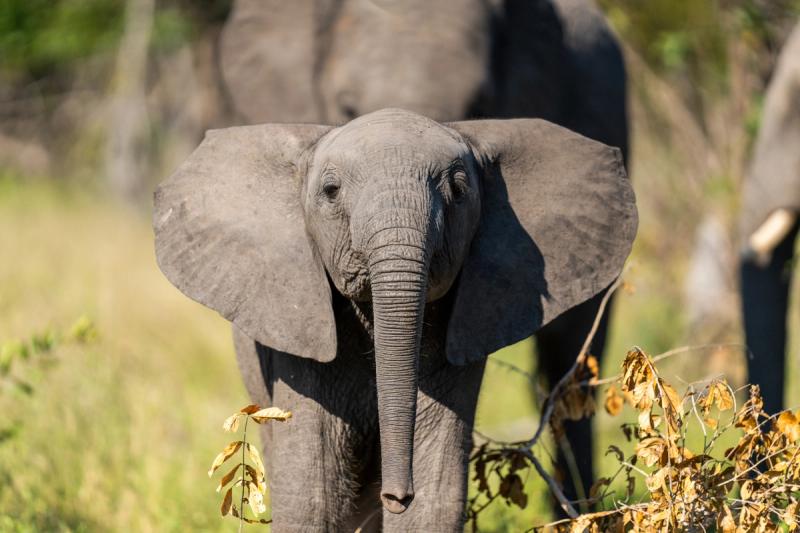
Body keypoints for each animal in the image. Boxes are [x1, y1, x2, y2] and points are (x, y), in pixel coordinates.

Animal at [153, 108, 637, 530]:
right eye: (331, 191)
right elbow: (315, 494)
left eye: (459, 190)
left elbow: (436, 495)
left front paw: (412, 502)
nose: (397, 496)